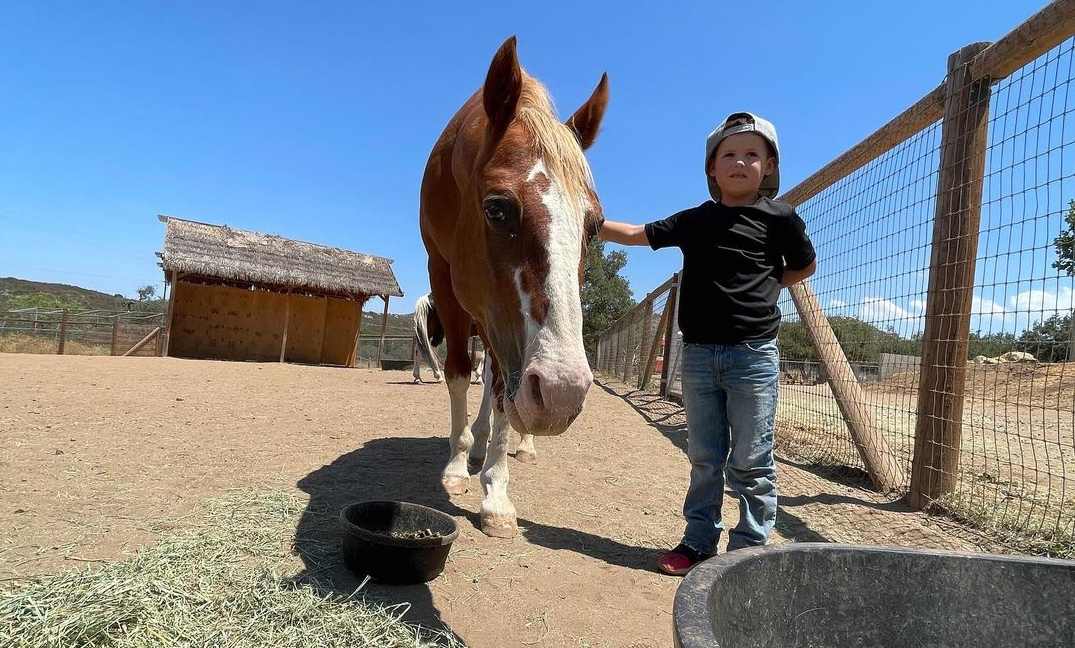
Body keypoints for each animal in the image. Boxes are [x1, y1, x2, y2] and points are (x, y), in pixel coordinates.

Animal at [417, 38, 606, 539]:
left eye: (595, 226)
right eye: (498, 209)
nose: (562, 393)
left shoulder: (501, 326)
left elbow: (502, 388)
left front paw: (496, 495)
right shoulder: (446, 277)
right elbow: (460, 373)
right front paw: (457, 466)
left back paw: (517, 445)